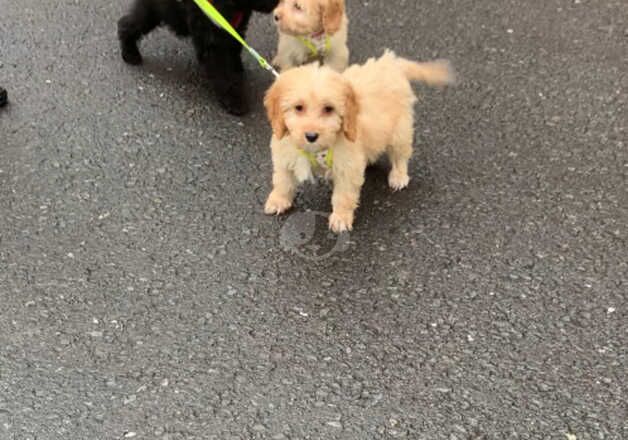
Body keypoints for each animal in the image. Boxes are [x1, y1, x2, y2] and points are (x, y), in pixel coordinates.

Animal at [118, 0, 274, 115]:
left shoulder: (234, 29)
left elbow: (234, 52)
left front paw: (238, 70)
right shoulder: (212, 40)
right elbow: (223, 72)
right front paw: (233, 99)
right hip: (153, 10)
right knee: (129, 24)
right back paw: (130, 53)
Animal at [262, 51, 454, 234]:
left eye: (328, 109)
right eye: (298, 107)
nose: (311, 135)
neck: (316, 150)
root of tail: (390, 62)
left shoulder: (347, 166)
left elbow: (343, 195)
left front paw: (341, 218)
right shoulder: (285, 154)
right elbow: (283, 181)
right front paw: (278, 200)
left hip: (400, 130)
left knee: (400, 155)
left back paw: (399, 176)